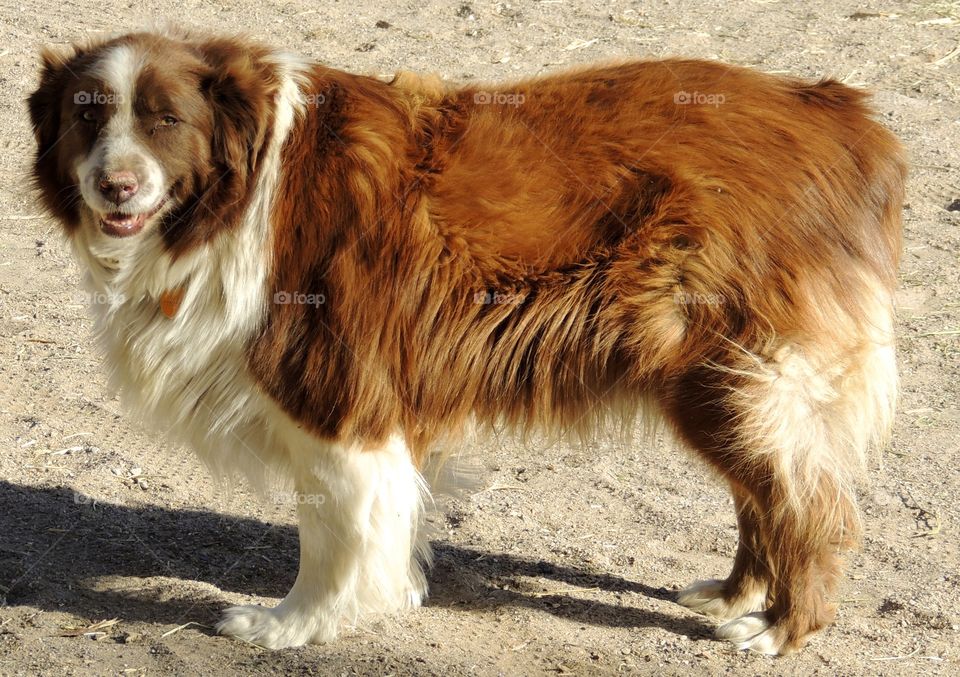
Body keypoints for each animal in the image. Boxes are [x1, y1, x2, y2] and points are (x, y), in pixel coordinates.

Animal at [26, 29, 904, 652]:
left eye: (166, 121)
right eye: (86, 115)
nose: (114, 185)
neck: (243, 194)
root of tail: (842, 115)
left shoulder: (339, 395)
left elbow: (335, 536)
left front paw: (296, 624)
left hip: (741, 378)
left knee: (813, 505)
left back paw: (781, 629)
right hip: (714, 384)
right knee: (766, 496)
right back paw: (733, 595)